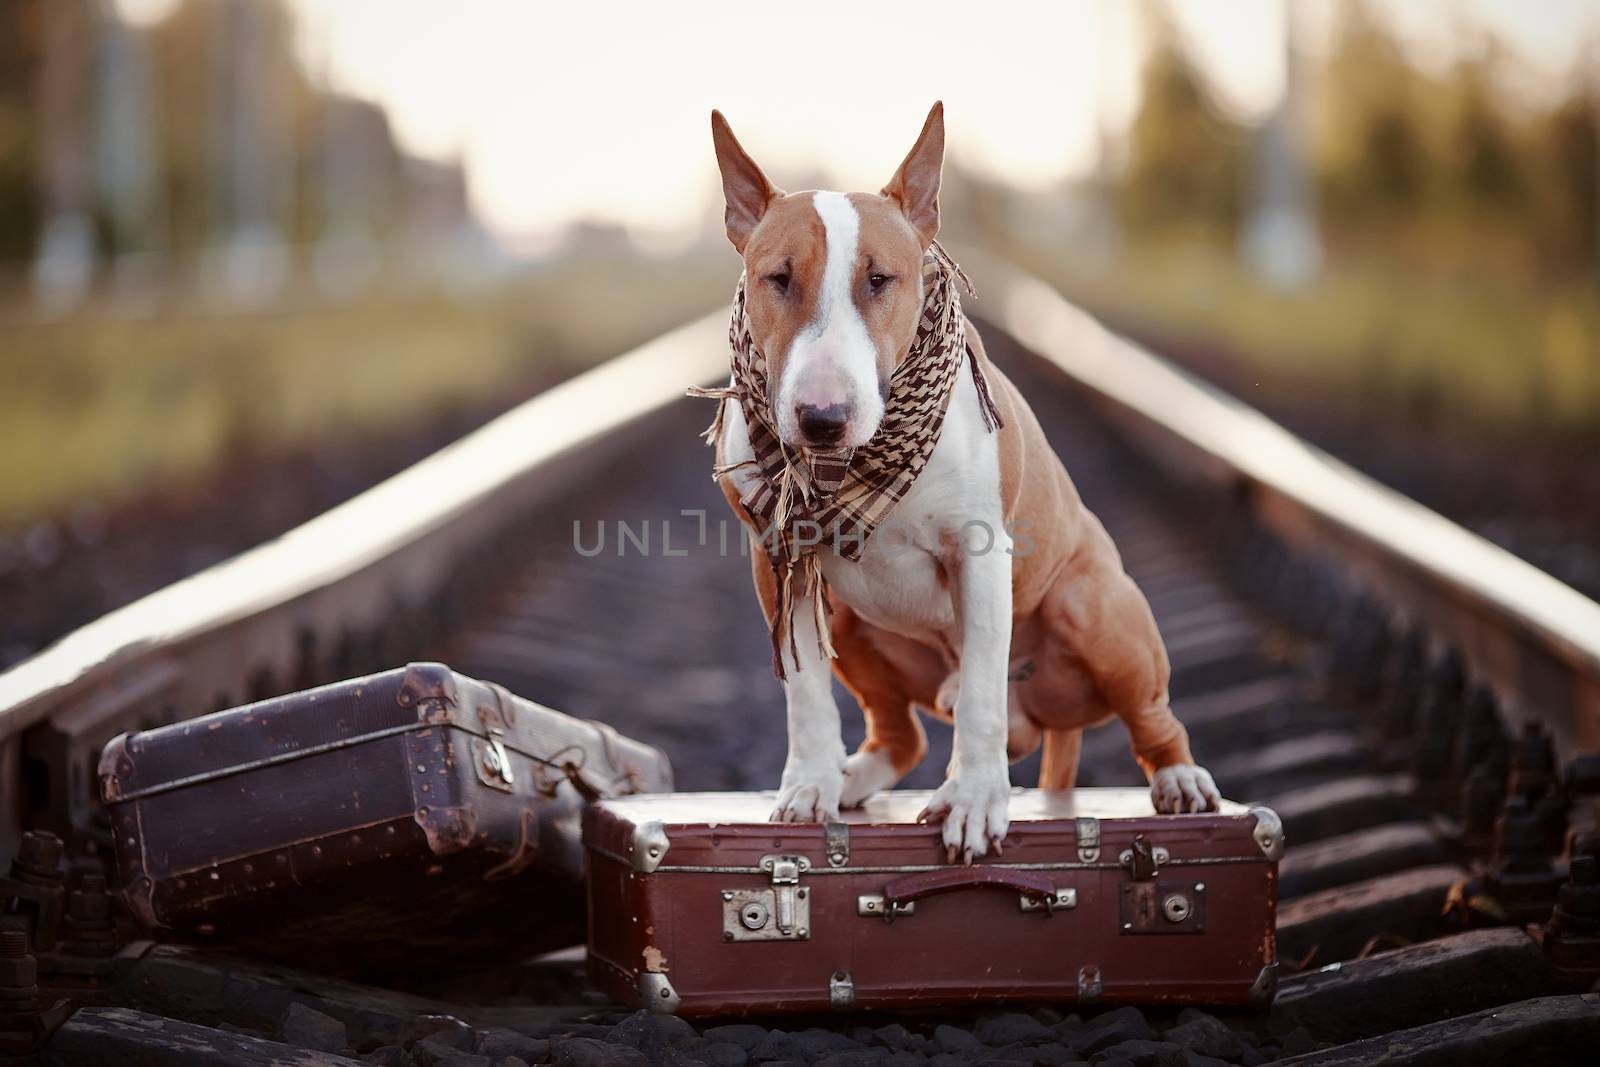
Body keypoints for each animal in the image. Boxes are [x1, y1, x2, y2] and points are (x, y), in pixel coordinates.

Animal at [707, 103, 1216, 863]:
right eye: (779, 278)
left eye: (880, 280)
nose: (822, 419)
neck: (860, 466)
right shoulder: (778, 559)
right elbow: (805, 688)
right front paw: (808, 784)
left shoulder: (979, 553)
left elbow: (979, 692)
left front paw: (975, 801)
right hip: (849, 617)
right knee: (903, 734)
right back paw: (849, 778)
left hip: (1094, 609)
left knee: (1150, 714)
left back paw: (1179, 777)